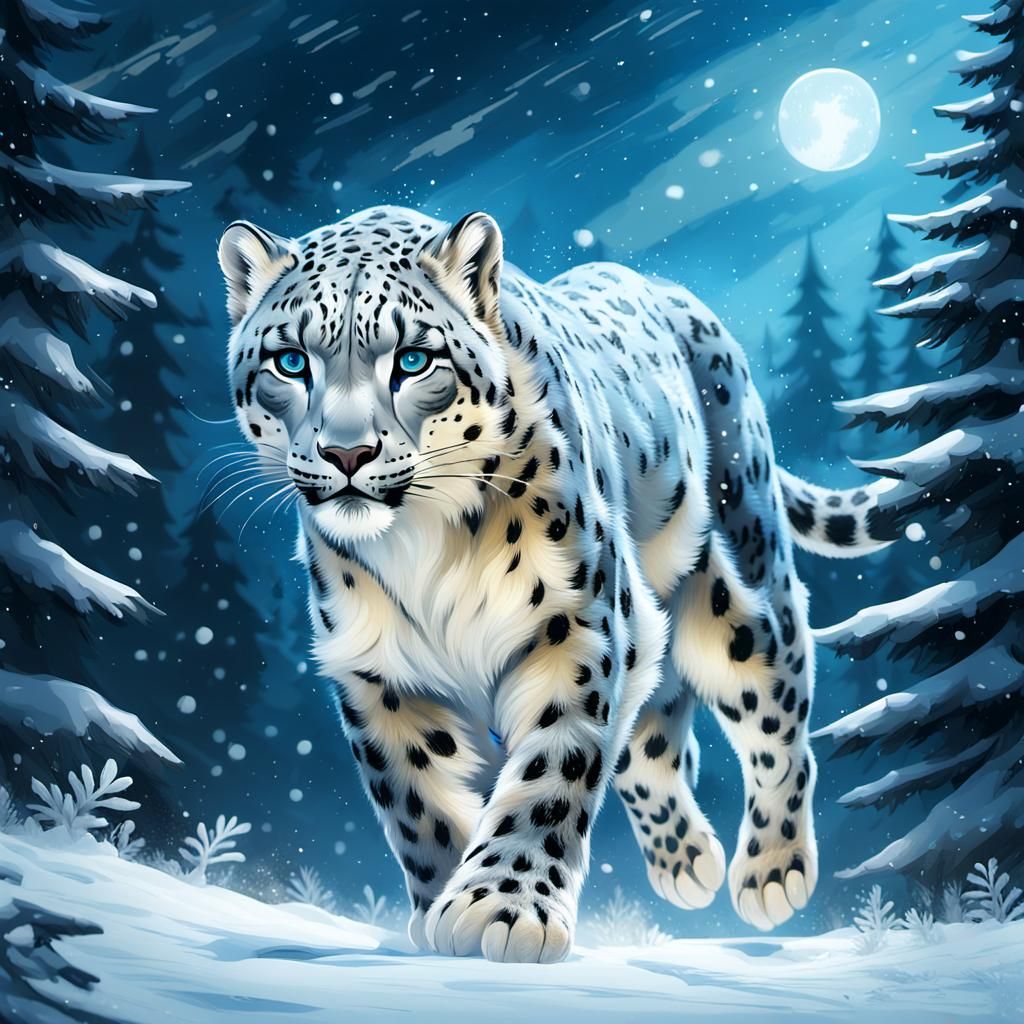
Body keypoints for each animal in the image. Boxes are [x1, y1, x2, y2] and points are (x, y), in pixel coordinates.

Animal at [218, 205, 896, 963]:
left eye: (415, 360)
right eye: (291, 361)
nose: (346, 453)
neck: (422, 544)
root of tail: (674, 293)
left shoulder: (573, 627)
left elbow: (551, 768)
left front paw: (500, 908)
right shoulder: (379, 674)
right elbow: (418, 804)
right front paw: (440, 906)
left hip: (736, 582)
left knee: (776, 706)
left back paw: (772, 870)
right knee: (656, 737)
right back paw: (686, 858)